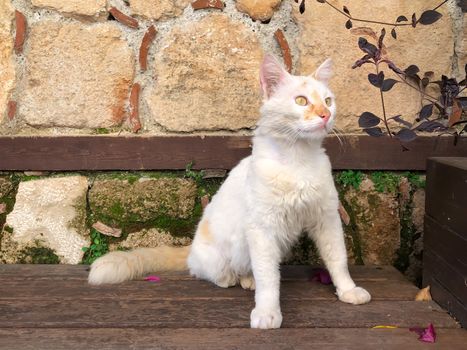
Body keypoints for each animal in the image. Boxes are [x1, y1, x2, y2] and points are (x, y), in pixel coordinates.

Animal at [88, 54, 372, 328]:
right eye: (301, 101)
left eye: (328, 101)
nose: (325, 115)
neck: (297, 160)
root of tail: (191, 248)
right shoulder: (262, 228)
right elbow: (269, 277)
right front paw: (267, 312)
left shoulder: (327, 218)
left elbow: (338, 260)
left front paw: (348, 291)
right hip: (226, 253)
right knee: (210, 272)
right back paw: (233, 279)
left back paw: (248, 280)